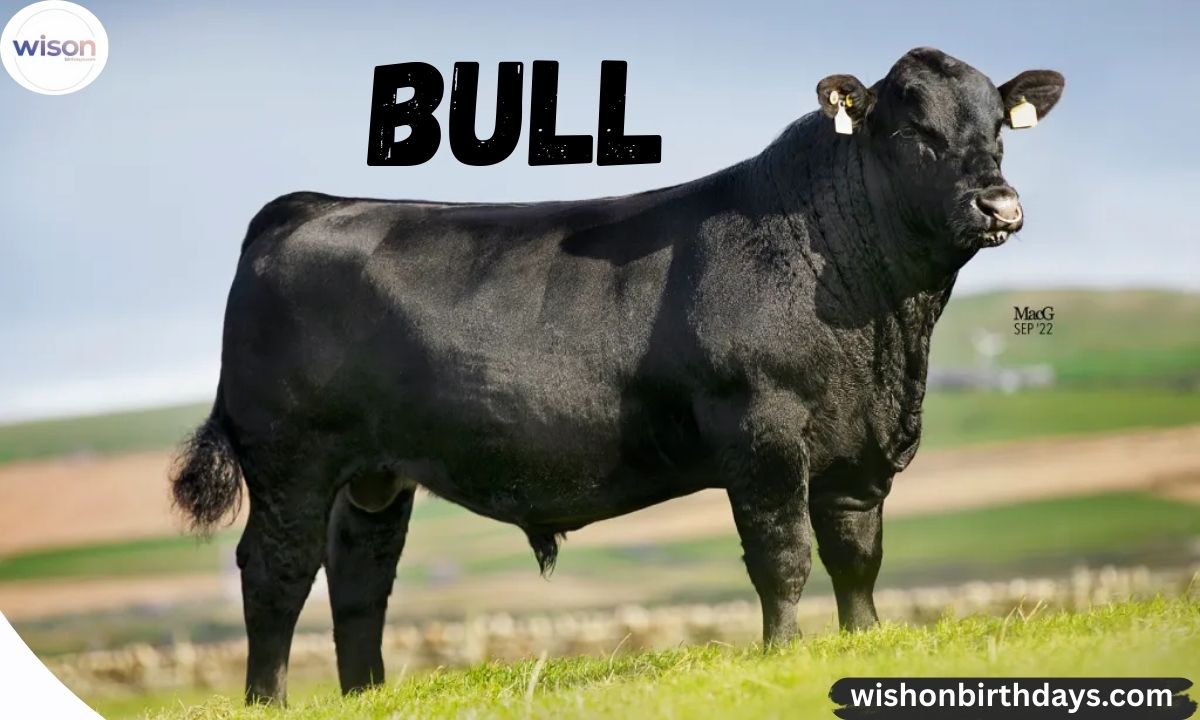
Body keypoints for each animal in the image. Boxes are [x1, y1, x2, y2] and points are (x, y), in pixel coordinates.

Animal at [171, 47, 1063, 705]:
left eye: (999, 130)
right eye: (915, 133)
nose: (999, 205)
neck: (882, 332)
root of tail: (310, 204)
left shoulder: (860, 447)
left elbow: (856, 555)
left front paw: (864, 643)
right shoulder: (762, 430)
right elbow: (782, 554)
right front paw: (782, 654)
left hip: (373, 474)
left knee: (360, 575)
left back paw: (369, 695)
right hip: (290, 456)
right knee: (277, 570)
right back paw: (268, 700)